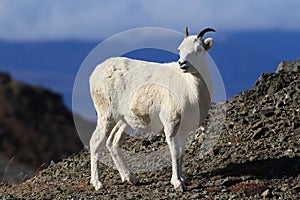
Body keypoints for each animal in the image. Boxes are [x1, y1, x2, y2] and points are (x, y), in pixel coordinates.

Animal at [89, 27, 216, 191]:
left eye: (199, 49)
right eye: (180, 49)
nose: (182, 64)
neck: (191, 88)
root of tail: (96, 73)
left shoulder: (184, 130)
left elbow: (181, 153)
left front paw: (182, 179)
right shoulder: (171, 125)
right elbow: (174, 152)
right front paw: (177, 183)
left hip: (124, 121)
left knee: (113, 142)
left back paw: (130, 178)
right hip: (106, 117)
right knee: (95, 142)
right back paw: (98, 183)